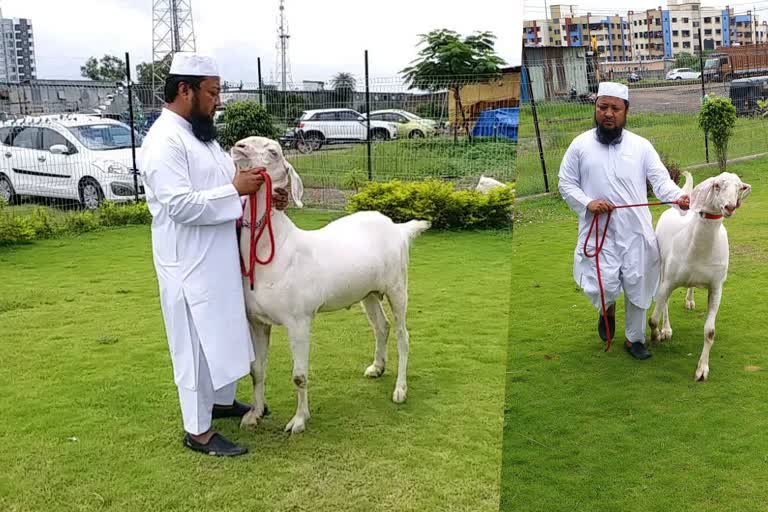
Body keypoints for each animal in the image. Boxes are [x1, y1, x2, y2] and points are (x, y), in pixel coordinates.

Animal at [228, 135, 432, 432]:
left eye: (274, 152)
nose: (239, 146)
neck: (274, 250)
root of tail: (399, 228)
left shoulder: (299, 320)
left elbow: (299, 375)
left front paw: (299, 420)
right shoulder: (256, 320)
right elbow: (256, 369)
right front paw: (254, 414)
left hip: (397, 286)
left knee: (403, 334)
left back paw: (400, 390)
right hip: (368, 292)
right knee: (381, 326)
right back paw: (377, 367)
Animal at [652, 171, 752, 380]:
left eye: (739, 187)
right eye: (716, 185)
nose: (730, 207)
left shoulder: (716, 286)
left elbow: (710, 331)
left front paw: (702, 370)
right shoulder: (669, 280)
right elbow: (654, 317)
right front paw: (657, 335)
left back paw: (689, 300)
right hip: (662, 266)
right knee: (664, 302)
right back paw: (666, 329)